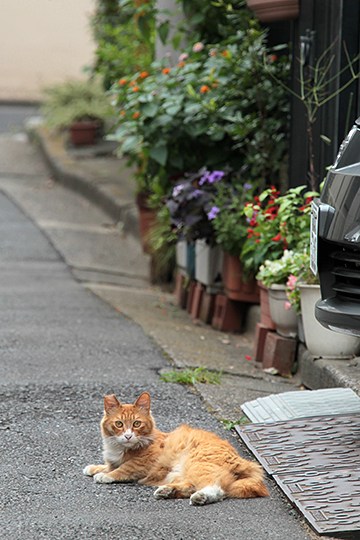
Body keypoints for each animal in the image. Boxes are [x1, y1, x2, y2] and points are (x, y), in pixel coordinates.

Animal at [83, 390, 268, 504]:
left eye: (136, 424)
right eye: (119, 424)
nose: (128, 436)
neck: (120, 448)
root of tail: (246, 462)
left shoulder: (143, 463)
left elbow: (122, 469)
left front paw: (104, 476)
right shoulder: (113, 459)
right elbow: (108, 465)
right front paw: (94, 468)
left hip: (196, 464)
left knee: (216, 488)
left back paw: (200, 497)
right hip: (181, 473)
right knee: (191, 485)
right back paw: (167, 491)